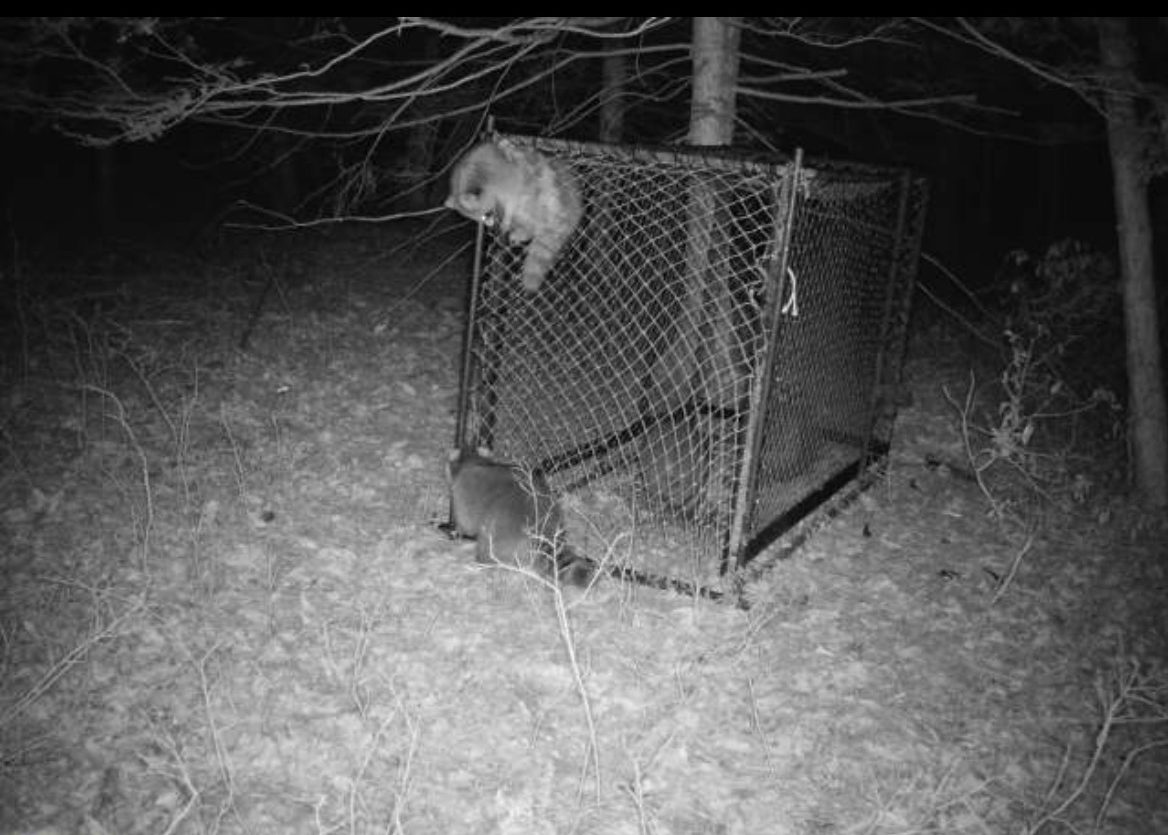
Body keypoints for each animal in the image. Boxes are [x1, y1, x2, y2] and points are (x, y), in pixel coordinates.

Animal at [443, 138, 581, 291]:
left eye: (486, 215)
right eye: (481, 219)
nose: (490, 225)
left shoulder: (511, 182)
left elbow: (511, 202)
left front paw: (506, 218)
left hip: (546, 200)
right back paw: (524, 231)